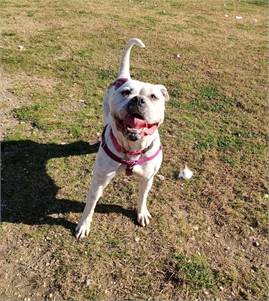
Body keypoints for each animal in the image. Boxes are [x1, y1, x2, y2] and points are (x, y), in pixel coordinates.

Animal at [75, 38, 168, 239]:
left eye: (153, 96)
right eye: (126, 92)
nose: (138, 99)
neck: (132, 148)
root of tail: (124, 76)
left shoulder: (147, 178)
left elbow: (142, 197)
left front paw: (142, 213)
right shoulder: (98, 181)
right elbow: (90, 205)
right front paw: (83, 225)